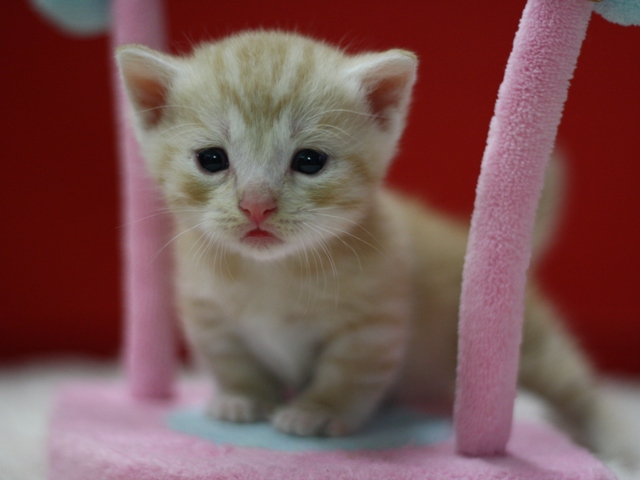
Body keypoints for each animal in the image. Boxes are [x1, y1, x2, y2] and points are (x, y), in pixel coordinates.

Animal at [116, 30, 632, 462]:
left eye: (309, 161)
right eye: (212, 159)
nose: (256, 205)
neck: (272, 272)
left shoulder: (374, 322)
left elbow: (347, 371)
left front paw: (318, 410)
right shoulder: (207, 314)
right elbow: (231, 359)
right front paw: (243, 397)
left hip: (528, 345)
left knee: (578, 388)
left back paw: (613, 443)